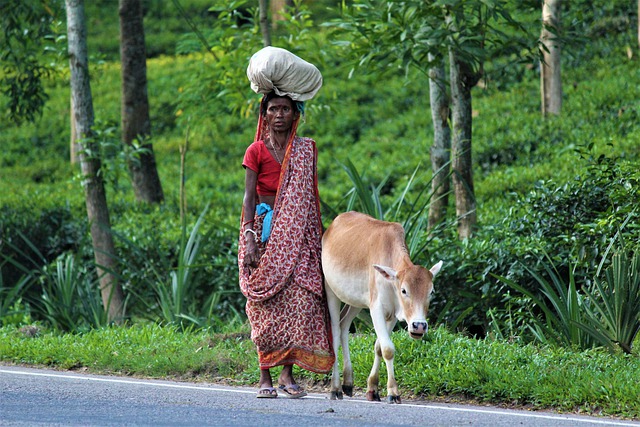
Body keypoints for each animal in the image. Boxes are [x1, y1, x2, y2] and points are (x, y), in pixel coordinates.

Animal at [322, 213, 442, 404]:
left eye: (431, 291)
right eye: (404, 290)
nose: (419, 326)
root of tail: (331, 227)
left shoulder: (392, 315)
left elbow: (379, 346)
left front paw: (373, 389)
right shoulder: (376, 308)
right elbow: (388, 349)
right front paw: (393, 392)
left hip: (355, 301)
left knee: (344, 326)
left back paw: (348, 382)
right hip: (331, 291)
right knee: (334, 331)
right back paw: (335, 388)